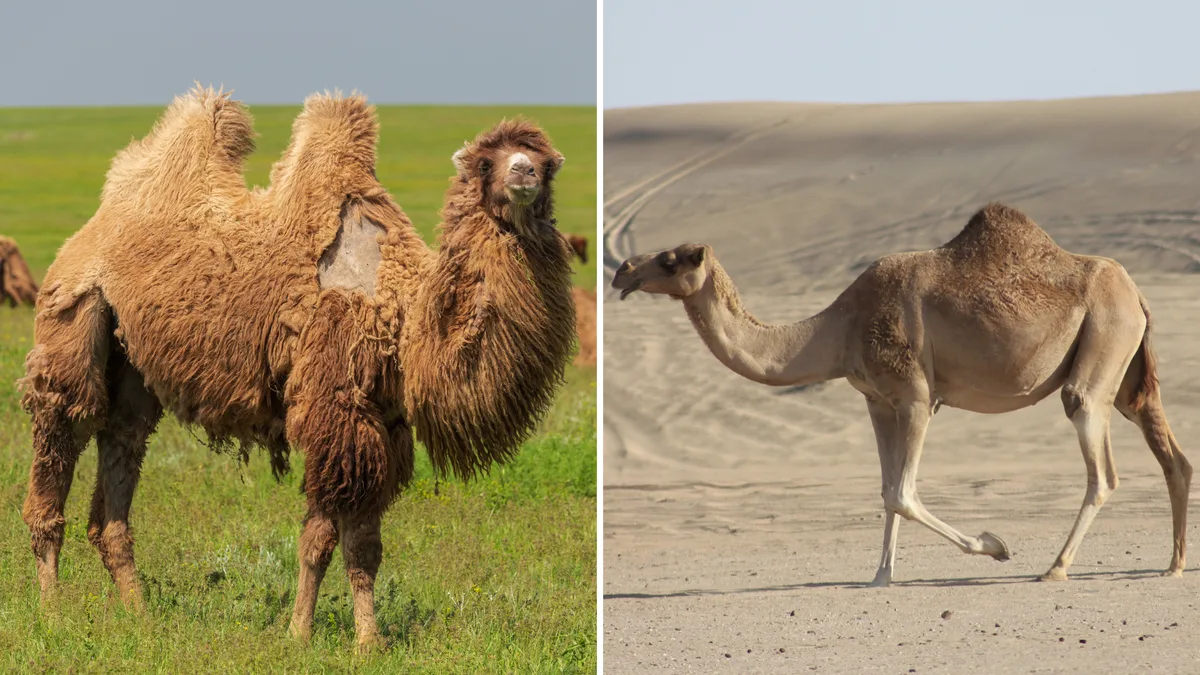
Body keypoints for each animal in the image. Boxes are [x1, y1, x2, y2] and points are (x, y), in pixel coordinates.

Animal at [20, 87, 575, 648]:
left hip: (133, 363)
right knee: (62, 429)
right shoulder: (334, 404)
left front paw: (368, 642)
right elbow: (321, 539)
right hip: (75, 312)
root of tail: (94, 226)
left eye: (546, 162)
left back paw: (139, 615)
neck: (406, 318)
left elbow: (365, 545)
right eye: (486, 162)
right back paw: (52, 615)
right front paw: (301, 634)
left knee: (121, 445)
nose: (524, 173)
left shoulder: (384, 421)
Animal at [611, 203, 1191, 586]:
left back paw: (1055, 567)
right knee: (1171, 455)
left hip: (1102, 344)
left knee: (1098, 456)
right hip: (1126, 367)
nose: (622, 269)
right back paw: (1174, 564)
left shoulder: (914, 396)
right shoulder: (877, 400)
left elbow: (903, 493)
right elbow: (886, 490)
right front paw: (880, 575)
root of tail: (1136, 292)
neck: (838, 328)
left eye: (671, 259)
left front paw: (995, 545)